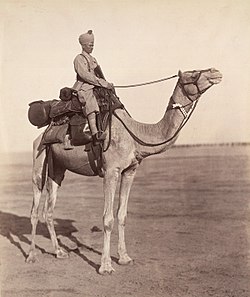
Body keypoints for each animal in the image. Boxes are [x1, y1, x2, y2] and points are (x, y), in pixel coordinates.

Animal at [26, 67, 223, 272]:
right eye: (193, 74)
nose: (215, 72)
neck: (135, 136)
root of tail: (42, 133)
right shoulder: (111, 171)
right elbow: (108, 219)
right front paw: (105, 266)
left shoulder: (130, 171)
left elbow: (122, 216)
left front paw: (124, 258)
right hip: (39, 158)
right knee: (34, 209)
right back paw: (31, 256)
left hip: (58, 168)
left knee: (49, 210)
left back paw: (59, 252)